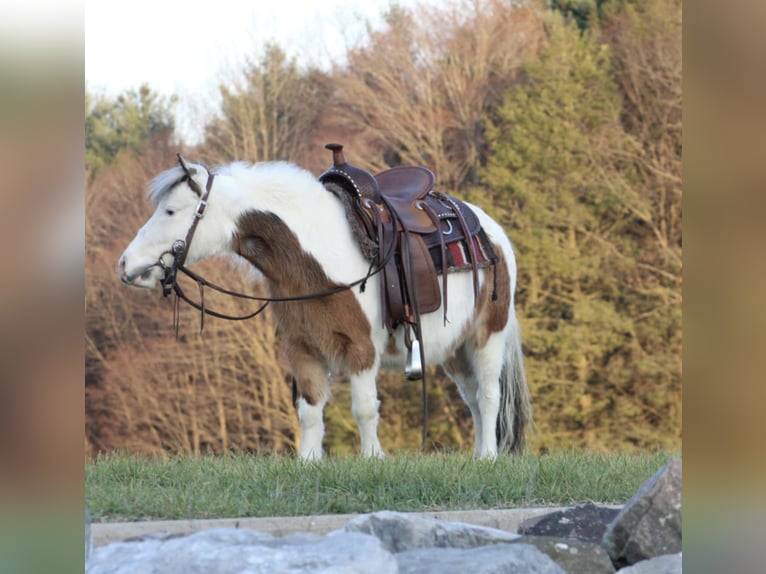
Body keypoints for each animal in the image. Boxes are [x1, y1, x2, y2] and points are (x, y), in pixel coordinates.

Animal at [118, 155, 536, 462]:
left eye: (171, 211)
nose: (125, 265)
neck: (315, 254)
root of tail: (492, 232)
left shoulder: (360, 351)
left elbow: (364, 408)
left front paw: (372, 459)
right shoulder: (302, 350)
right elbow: (309, 410)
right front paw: (309, 462)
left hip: (486, 338)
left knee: (488, 395)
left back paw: (489, 457)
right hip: (455, 350)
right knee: (473, 399)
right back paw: (479, 455)